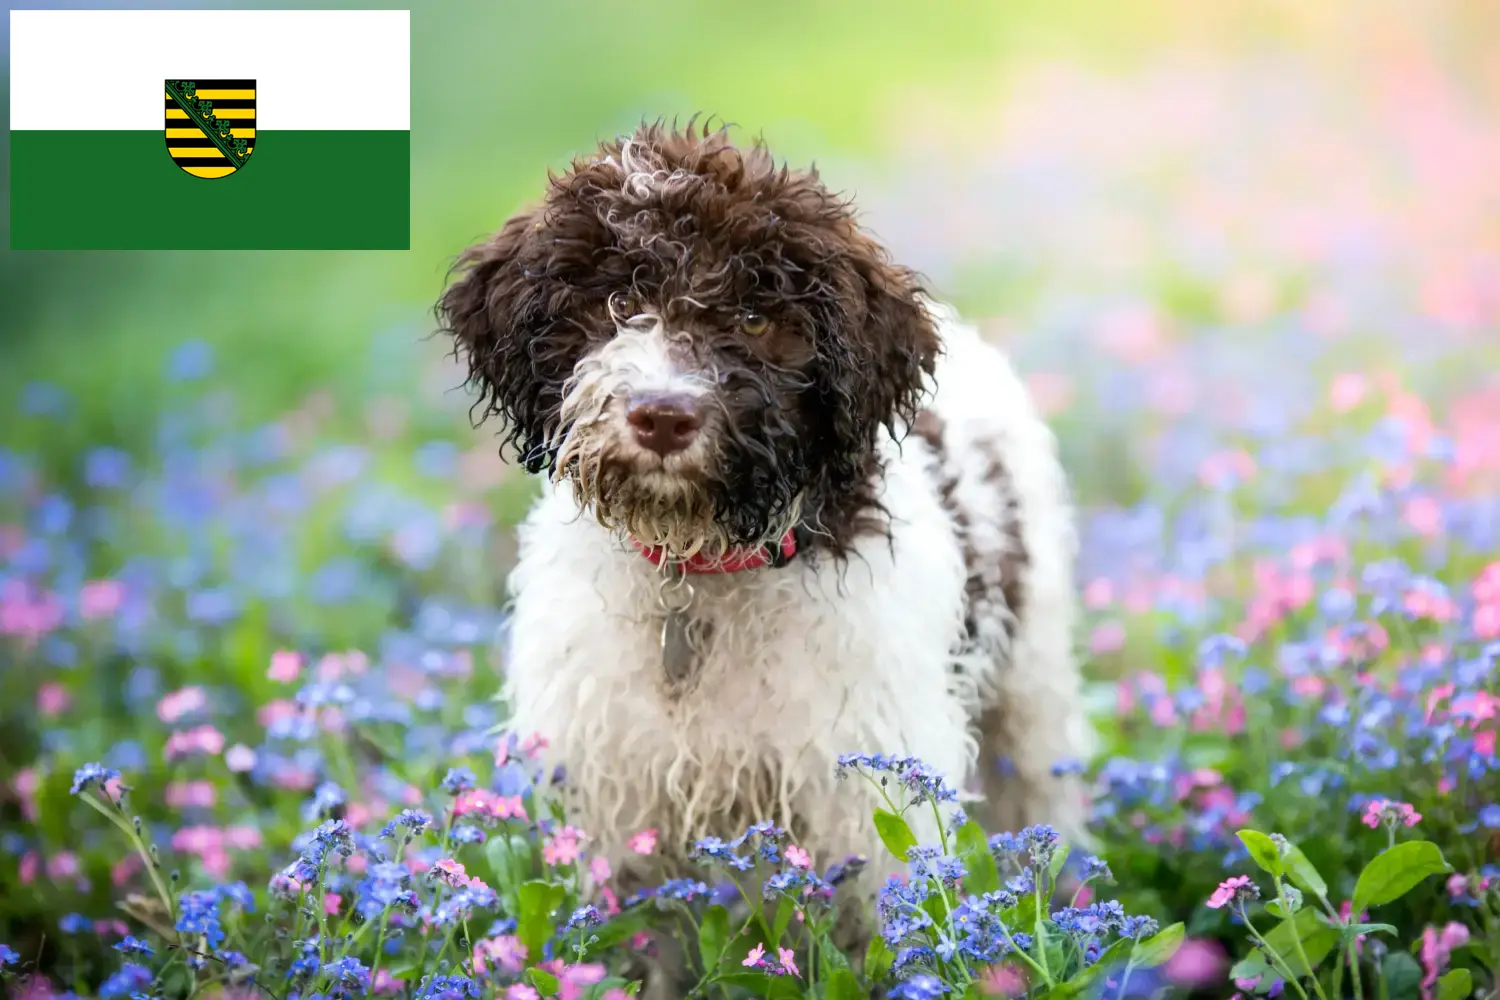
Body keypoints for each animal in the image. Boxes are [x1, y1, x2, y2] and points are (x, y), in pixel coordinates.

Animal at [438, 119, 1092, 899]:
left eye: (754, 318)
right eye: (616, 303)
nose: (663, 417)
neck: (699, 572)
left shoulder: (871, 787)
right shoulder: (616, 799)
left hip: (1032, 687)